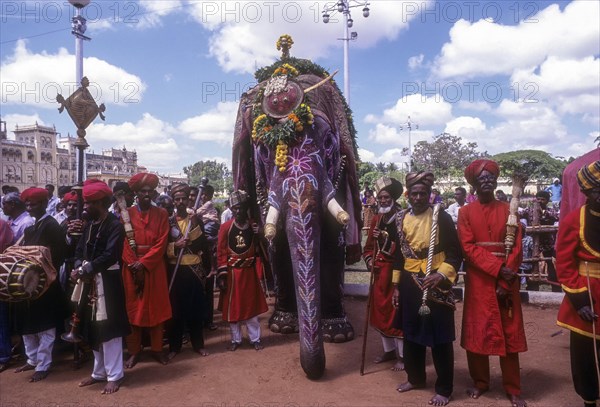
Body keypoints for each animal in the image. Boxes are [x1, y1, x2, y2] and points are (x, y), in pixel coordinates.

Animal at [231, 35, 360, 380]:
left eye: (329, 142)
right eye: (263, 151)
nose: (314, 372)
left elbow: (333, 238)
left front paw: (339, 334)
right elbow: (274, 240)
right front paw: (282, 326)